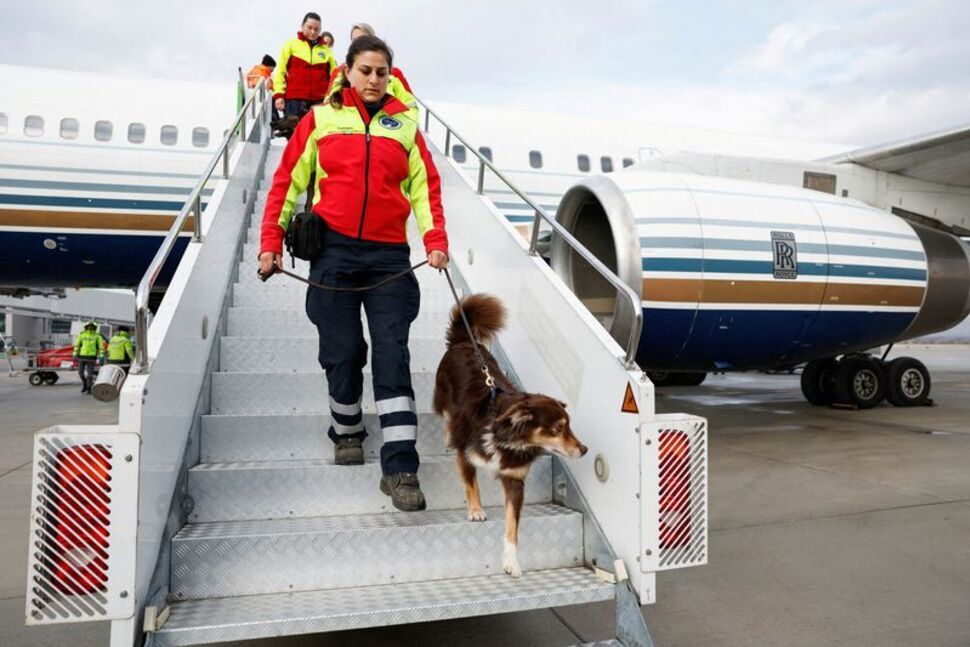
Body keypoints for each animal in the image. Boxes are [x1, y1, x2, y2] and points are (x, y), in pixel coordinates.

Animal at [432, 294, 588, 576]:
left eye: (569, 426)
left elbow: (512, 525)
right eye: (558, 429)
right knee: (448, 419)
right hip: (443, 398)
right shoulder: (465, 455)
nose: (584, 450)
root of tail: (464, 341)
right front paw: (476, 510)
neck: (510, 438)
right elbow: (470, 483)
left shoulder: (515, 481)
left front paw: (511, 561)